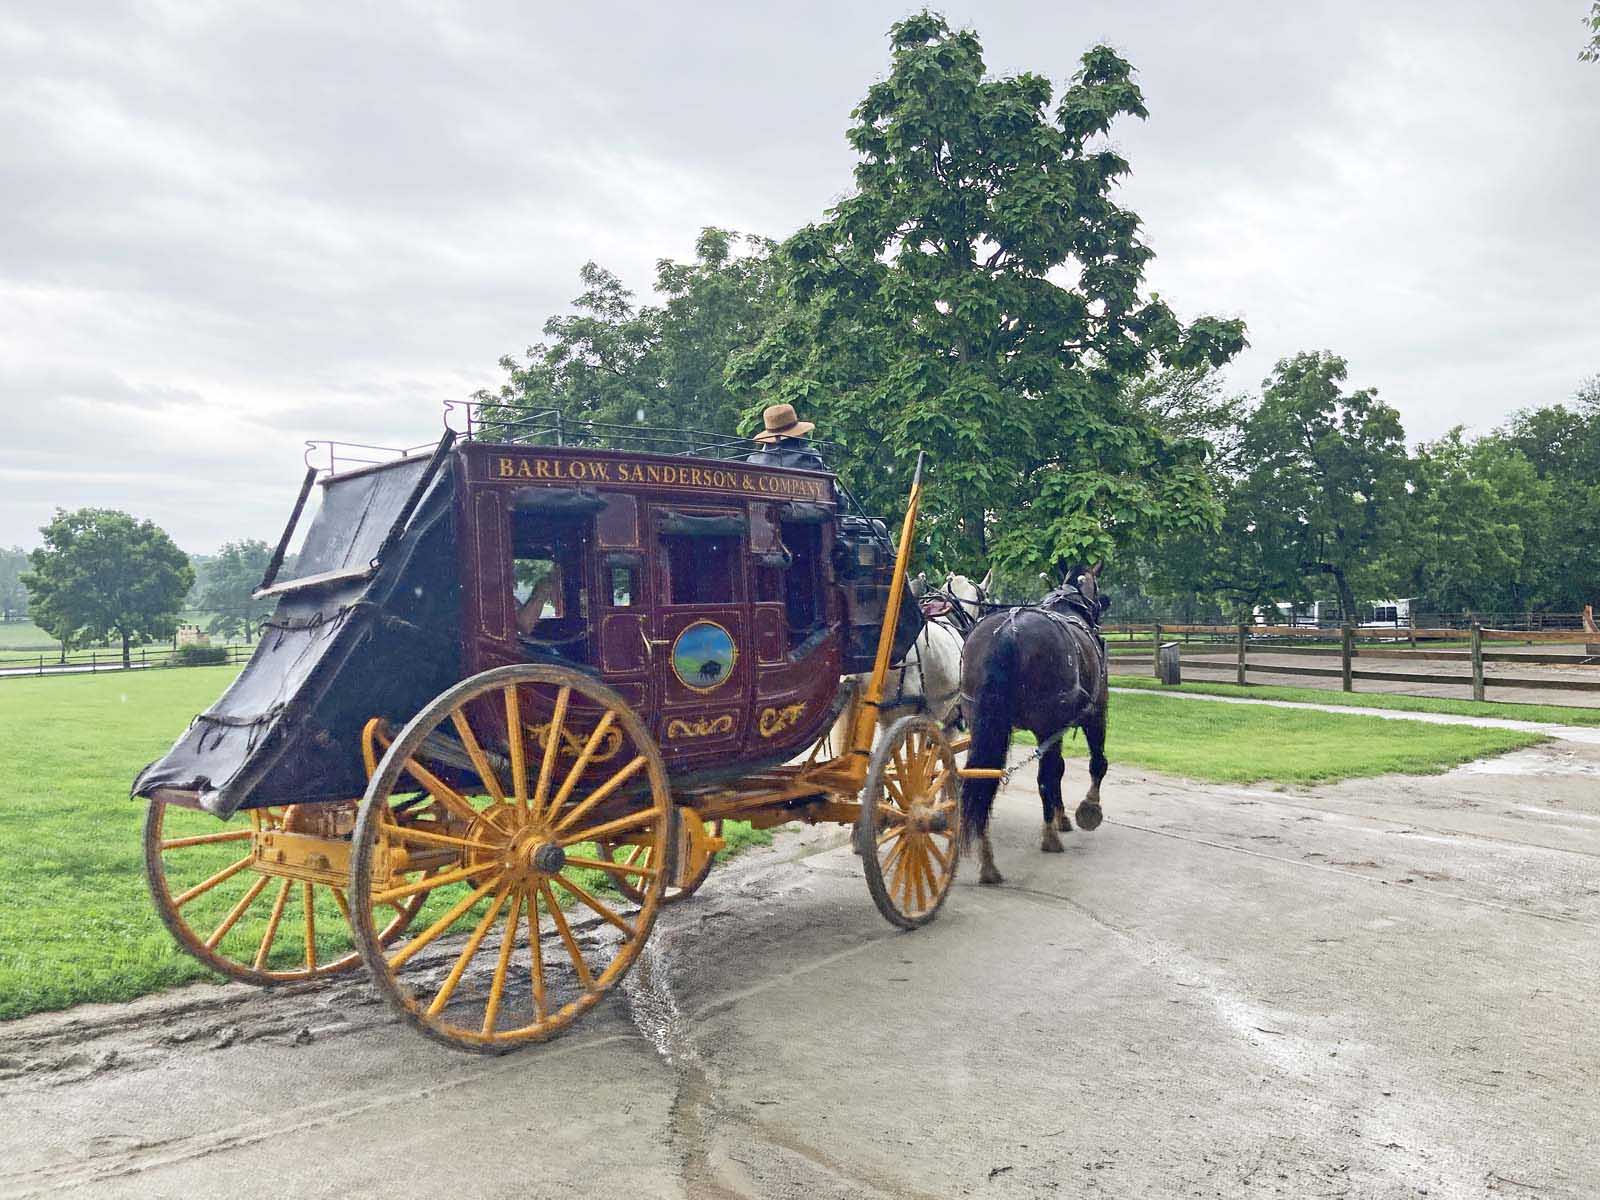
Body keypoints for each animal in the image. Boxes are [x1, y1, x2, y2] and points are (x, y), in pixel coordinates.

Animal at [953, 569, 1107, 889]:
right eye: (1097, 589)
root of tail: (1007, 632)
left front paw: (1062, 817)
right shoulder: (1095, 711)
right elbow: (1092, 764)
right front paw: (1088, 809)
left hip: (985, 723)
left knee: (983, 778)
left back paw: (987, 860)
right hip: (1047, 723)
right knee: (1046, 775)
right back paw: (1048, 838)